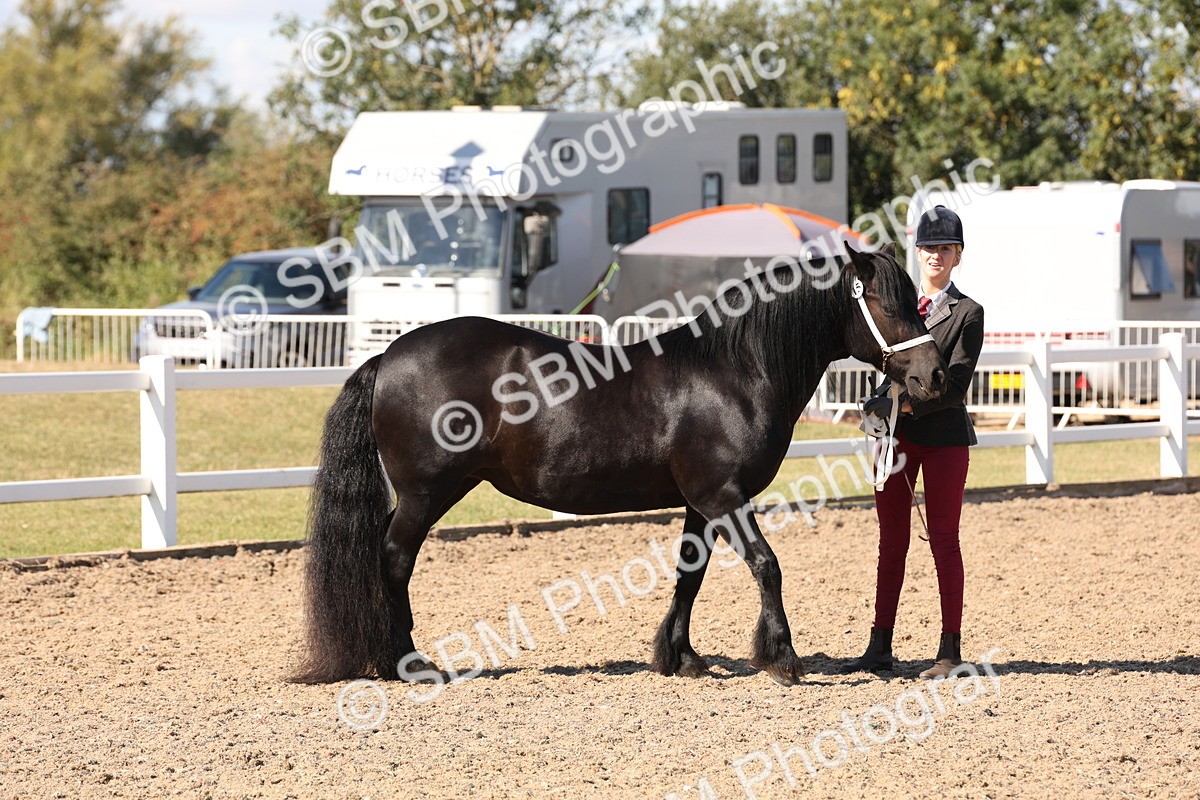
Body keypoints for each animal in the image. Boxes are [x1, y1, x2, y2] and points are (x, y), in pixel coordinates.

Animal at [292, 242, 947, 687]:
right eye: (887, 306)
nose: (934, 375)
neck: (732, 371)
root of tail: (387, 355)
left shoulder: (700, 502)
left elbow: (689, 575)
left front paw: (681, 657)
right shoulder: (724, 496)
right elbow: (767, 565)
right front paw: (782, 658)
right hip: (427, 493)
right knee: (395, 558)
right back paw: (407, 662)